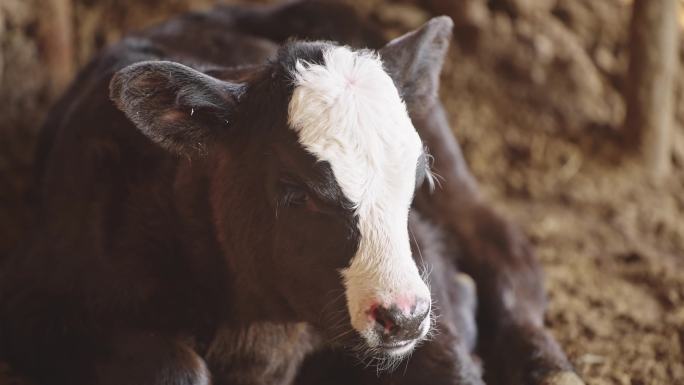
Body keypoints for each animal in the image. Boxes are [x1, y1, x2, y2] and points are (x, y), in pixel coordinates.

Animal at [0, 0, 584, 384]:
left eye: (415, 182)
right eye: (294, 193)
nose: (403, 316)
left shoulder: (424, 267)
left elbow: (452, 359)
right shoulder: (39, 304)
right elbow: (176, 366)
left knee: (508, 258)